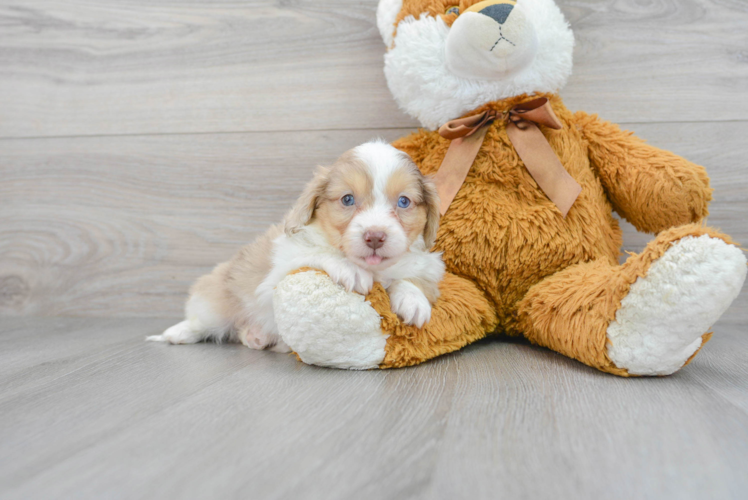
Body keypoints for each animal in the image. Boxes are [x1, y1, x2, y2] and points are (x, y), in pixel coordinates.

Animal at [149, 141, 448, 352]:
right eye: (348, 199)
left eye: (404, 202)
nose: (375, 237)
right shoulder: (276, 273)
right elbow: (316, 253)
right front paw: (349, 269)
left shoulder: (426, 266)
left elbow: (411, 279)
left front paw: (413, 300)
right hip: (215, 304)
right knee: (202, 321)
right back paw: (175, 333)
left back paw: (256, 335)